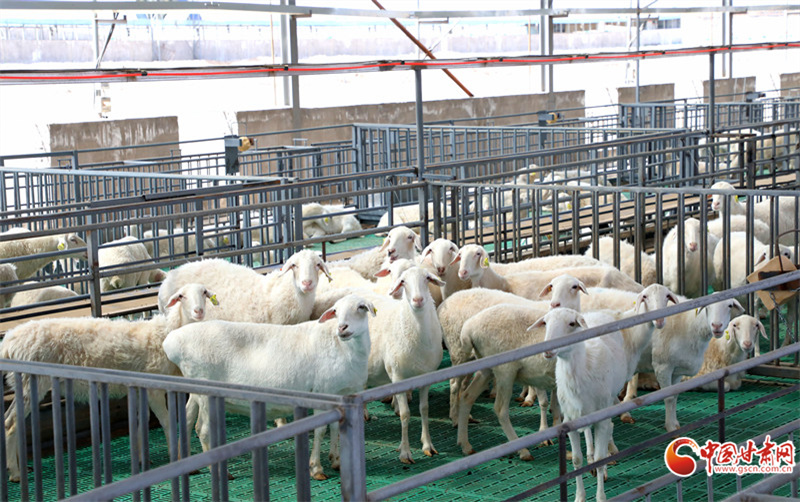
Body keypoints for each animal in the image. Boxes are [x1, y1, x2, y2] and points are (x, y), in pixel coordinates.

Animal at [2, 282, 217, 483]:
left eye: (204, 293)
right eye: (181, 296)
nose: (199, 311)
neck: (165, 333)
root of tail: (8, 342)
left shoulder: (139, 387)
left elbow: (142, 420)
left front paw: (141, 458)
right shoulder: (153, 387)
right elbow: (166, 421)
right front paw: (177, 457)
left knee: (9, 420)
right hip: (32, 381)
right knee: (11, 423)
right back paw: (15, 473)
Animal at [162, 294, 375, 481]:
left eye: (361, 307)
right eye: (336, 311)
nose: (342, 328)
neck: (341, 346)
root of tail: (171, 341)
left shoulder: (341, 394)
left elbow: (335, 427)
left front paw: (336, 461)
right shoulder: (323, 392)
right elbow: (321, 430)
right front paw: (316, 468)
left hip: (195, 387)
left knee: (188, 419)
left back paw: (187, 464)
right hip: (206, 390)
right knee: (203, 429)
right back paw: (221, 472)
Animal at [534, 307, 629, 502]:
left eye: (572, 323)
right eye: (545, 323)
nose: (547, 350)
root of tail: (595, 313)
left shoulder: (601, 417)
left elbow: (600, 459)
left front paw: (601, 497)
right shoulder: (569, 421)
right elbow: (576, 461)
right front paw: (579, 496)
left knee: (608, 429)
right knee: (588, 433)